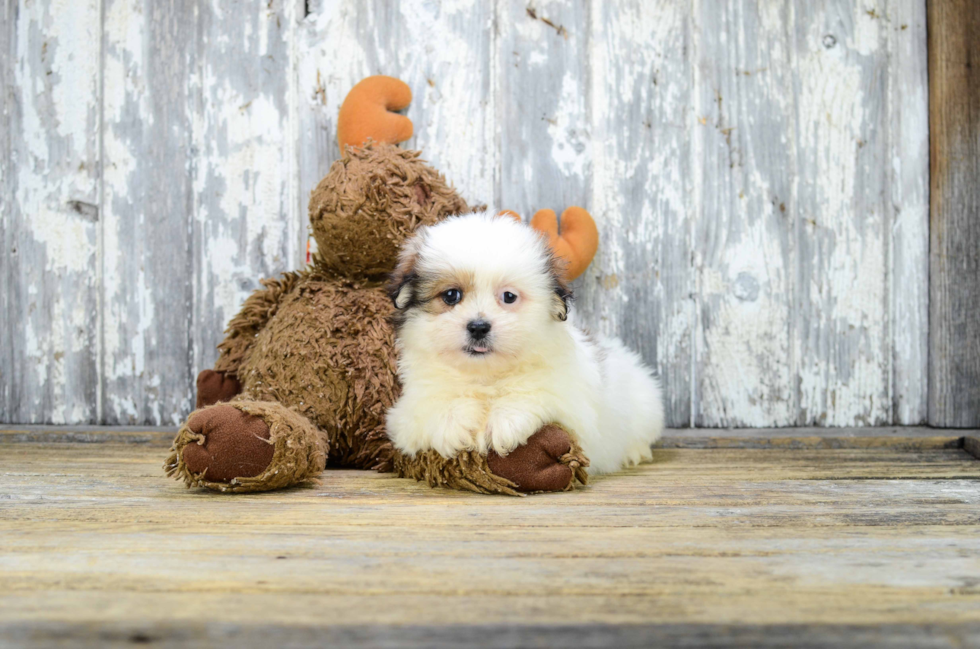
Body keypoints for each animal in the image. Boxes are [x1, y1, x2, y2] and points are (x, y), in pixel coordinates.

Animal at [386, 210, 664, 474]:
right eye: (451, 295)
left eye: (509, 297)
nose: (478, 327)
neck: (486, 376)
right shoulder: (405, 413)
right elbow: (430, 408)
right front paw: (454, 422)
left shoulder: (573, 407)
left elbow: (536, 394)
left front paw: (504, 420)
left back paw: (634, 453)